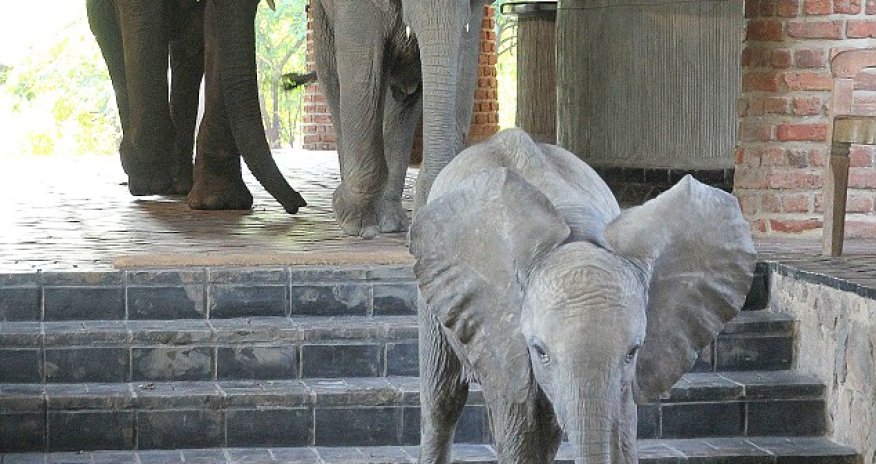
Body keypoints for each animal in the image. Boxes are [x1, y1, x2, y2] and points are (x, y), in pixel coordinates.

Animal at [88, 0, 306, 214]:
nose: (298, 203)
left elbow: (209, 30)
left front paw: (220, 203)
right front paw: (149, 179)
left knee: (187, 51)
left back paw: (178, 186)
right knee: (107, 35)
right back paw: (149, 182)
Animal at [310, 0, 491, 238]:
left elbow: (464, 69)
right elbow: (363, 71)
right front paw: (354, 220)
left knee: (402, 100)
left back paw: (390, 222)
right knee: (332, 76)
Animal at [409, 129, 757, 464]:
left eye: (633, 352)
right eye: (540, 351)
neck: (579, 237)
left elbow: (621, 438)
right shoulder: (502, 337)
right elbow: (521, 437)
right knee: (442, 399)